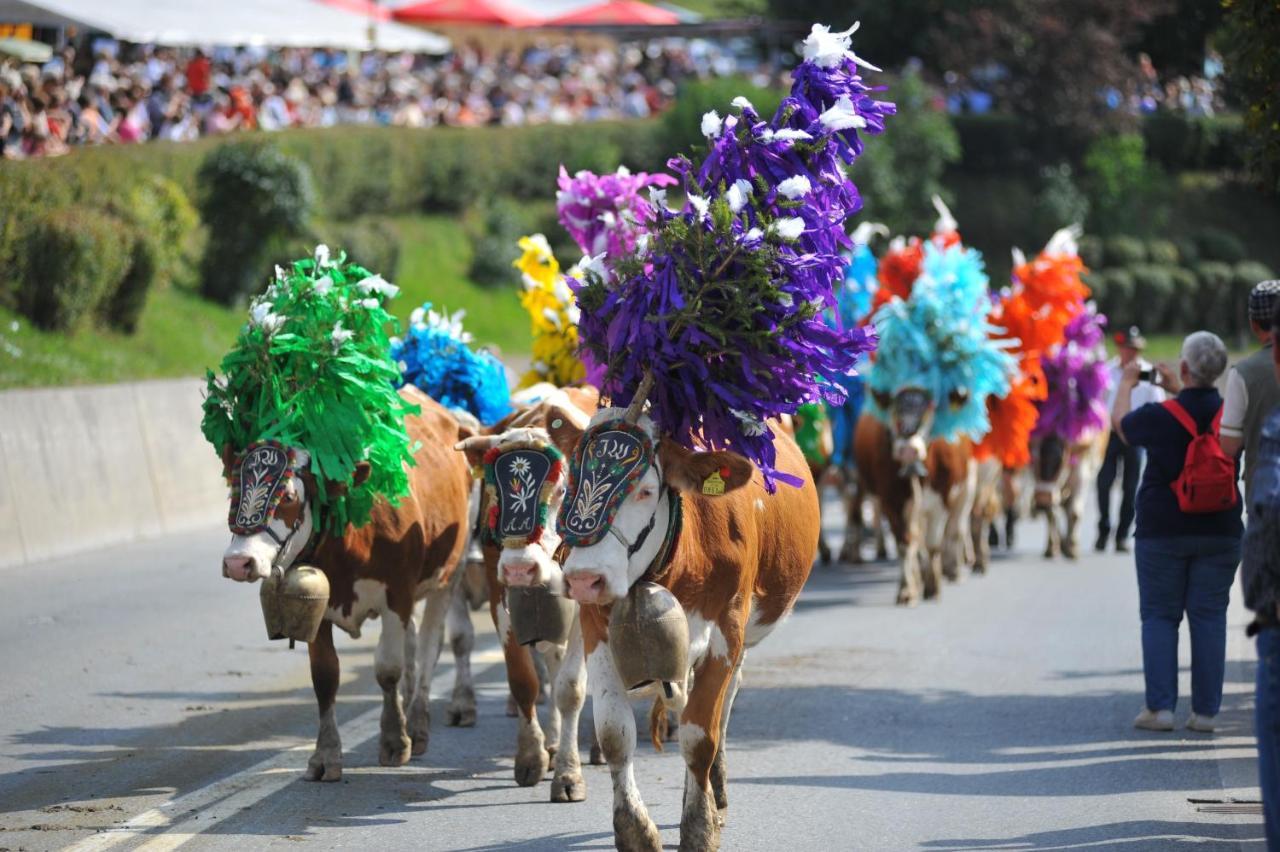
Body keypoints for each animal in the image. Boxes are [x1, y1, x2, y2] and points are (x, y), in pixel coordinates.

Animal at [220, 388, 476, 777]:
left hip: (451, 573)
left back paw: (417, 725)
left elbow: (388, 669)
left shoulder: (397, 595)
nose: (238, 562)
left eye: (288, 497)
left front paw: (393, 741)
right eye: (234, 490)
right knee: (414, 645)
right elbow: (325, 677)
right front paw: (325, 755)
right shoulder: (316, 605)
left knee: (432, 644)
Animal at [458, 383, 601, 798]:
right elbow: (524, 681)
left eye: (562, 491)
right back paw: (552, 743)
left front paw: (568, 774)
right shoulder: (500, 595)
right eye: (493, 493)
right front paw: (532, 757)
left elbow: (571, 687)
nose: (520, 567)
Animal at [514, 406, 824, 849]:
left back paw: (716, 794)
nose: (584, 579)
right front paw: (634, 830)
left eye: (645, 491)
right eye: (569, 482)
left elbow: (700, 735)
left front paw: (699, 826)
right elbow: (614, 733)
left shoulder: (726, 632)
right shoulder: (596, 628)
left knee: (723, 708)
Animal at [855, 388, 972, 601]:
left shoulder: (942, 500)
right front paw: (907, 590)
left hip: (967, 489)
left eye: (929, 408)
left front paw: (933, 586)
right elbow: (905, 542)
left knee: (956, 529)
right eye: (894, 407)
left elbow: (934, 544)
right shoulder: (891, 501)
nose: (908, 449)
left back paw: (954, 570)